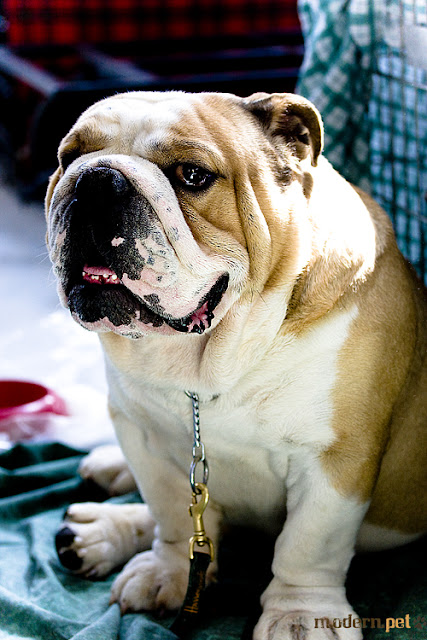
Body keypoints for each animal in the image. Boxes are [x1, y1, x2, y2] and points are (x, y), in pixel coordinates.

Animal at [46, 90, 427, 639]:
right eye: (68, 157)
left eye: (192, 175)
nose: (95, 179)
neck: (212, 365)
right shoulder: (141, 432)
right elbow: (172, 513)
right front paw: (167, 572)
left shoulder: (335, 458)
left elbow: (309, 544)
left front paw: (300, 615)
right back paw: (100, 522)